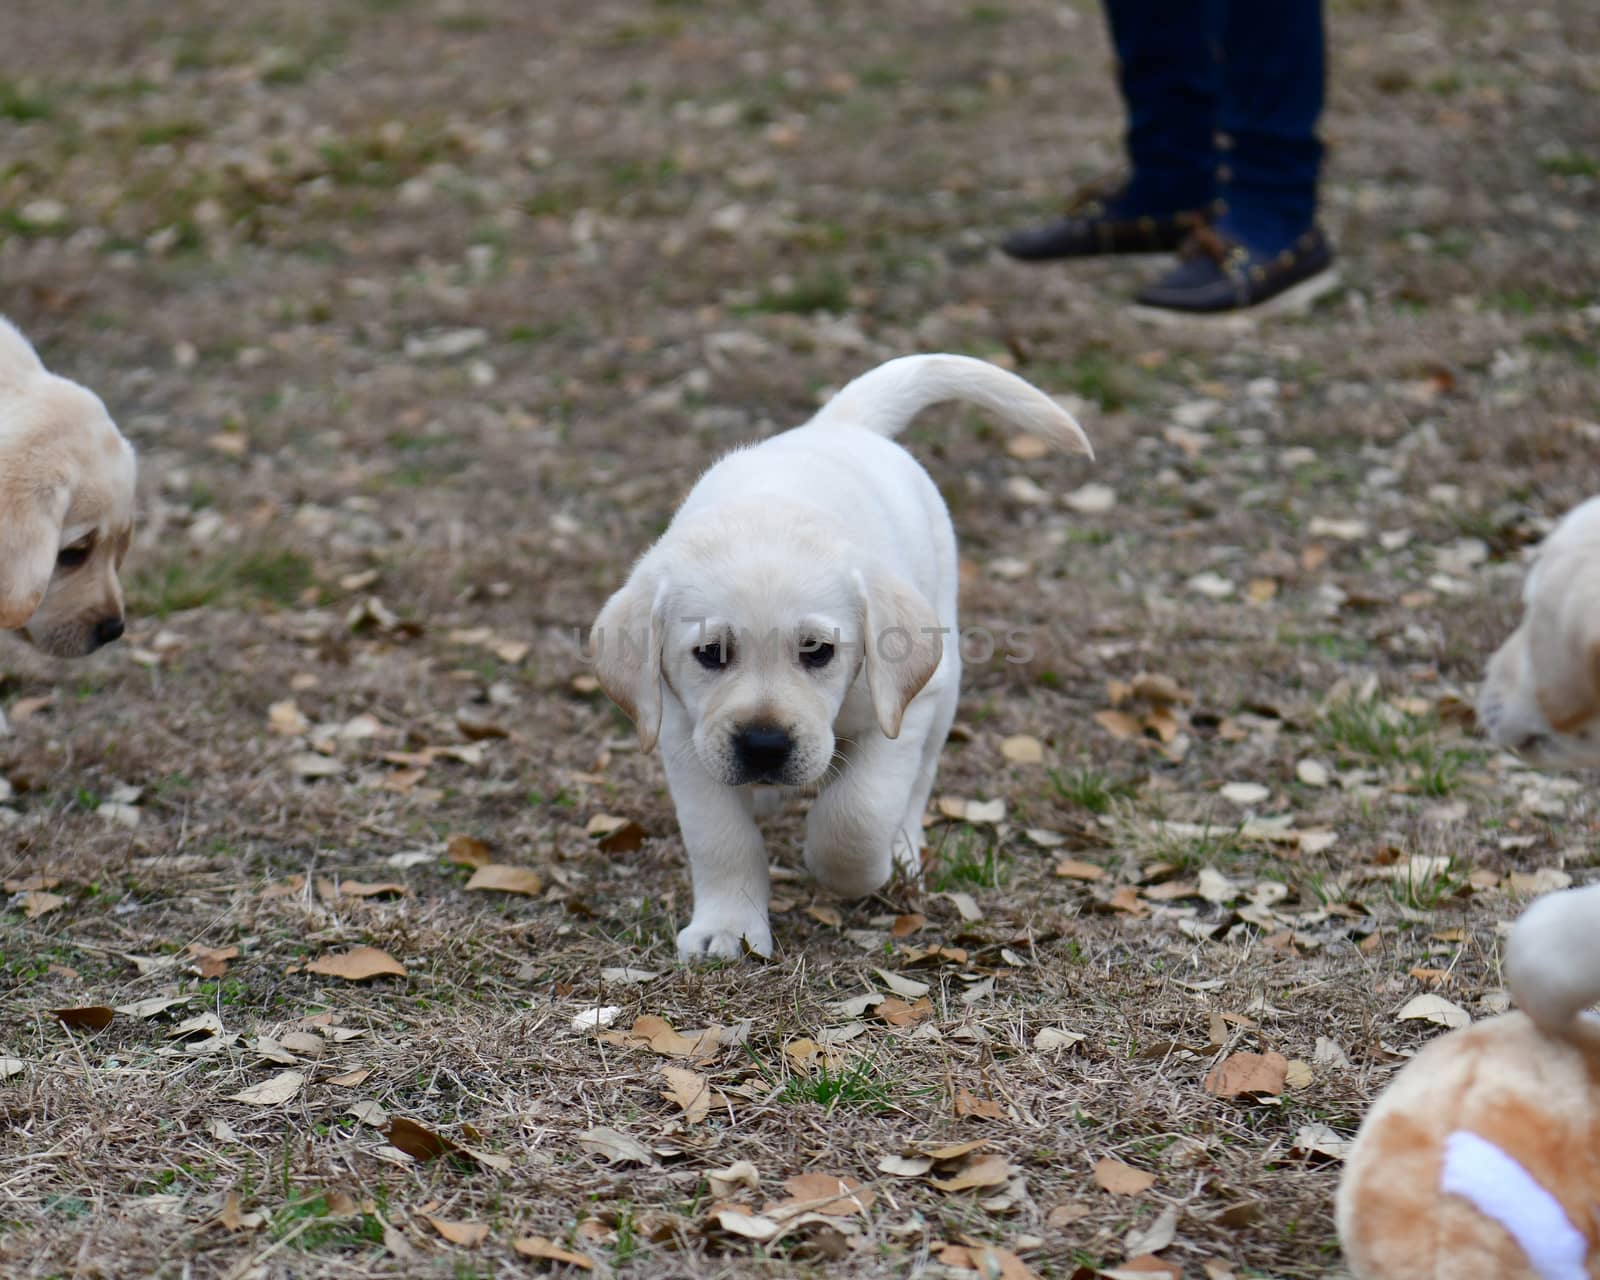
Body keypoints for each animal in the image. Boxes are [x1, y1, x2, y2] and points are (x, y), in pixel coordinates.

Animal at [595, 352, 1094, 960]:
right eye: (710, 653)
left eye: (818, 651)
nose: (764, 747)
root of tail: (838, 424)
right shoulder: (680, 732)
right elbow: (720, 836)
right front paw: (727, 926)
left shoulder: (906, 703)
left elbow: (858, 813)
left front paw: (859, 870)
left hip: (945, 684)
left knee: (917, 782)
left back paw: (901, 850)